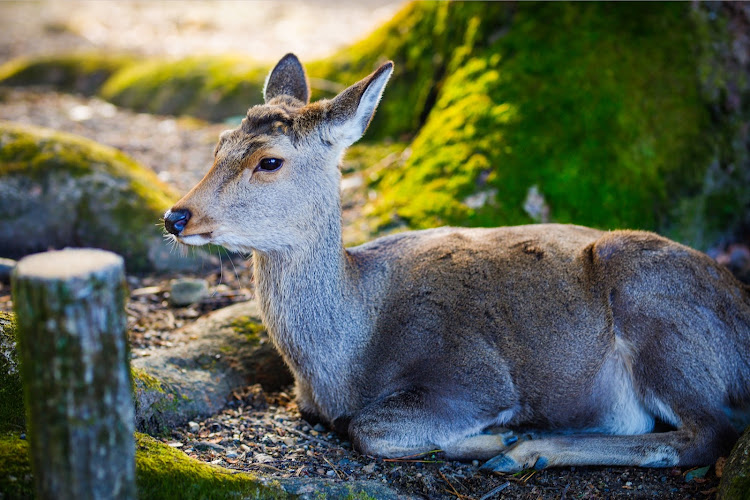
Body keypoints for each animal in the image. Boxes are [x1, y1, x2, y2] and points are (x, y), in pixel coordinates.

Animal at [164, 54, 750, 472]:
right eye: (219, 144)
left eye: (269, 161)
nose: (176, 215)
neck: (344, 363)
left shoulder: (473, 373)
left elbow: (370, 428)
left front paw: (501, 433)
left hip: (657, 311)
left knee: (708, 435)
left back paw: (526, 449)